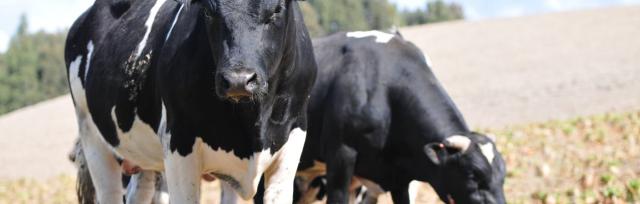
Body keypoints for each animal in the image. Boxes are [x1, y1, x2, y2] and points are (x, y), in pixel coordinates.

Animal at [65, 0, 316, 202]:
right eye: (208, 11)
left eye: (277, 10)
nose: (238, 80)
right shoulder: (179, 144)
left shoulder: (292, 140)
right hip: (92, 138)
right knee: (110, 192)